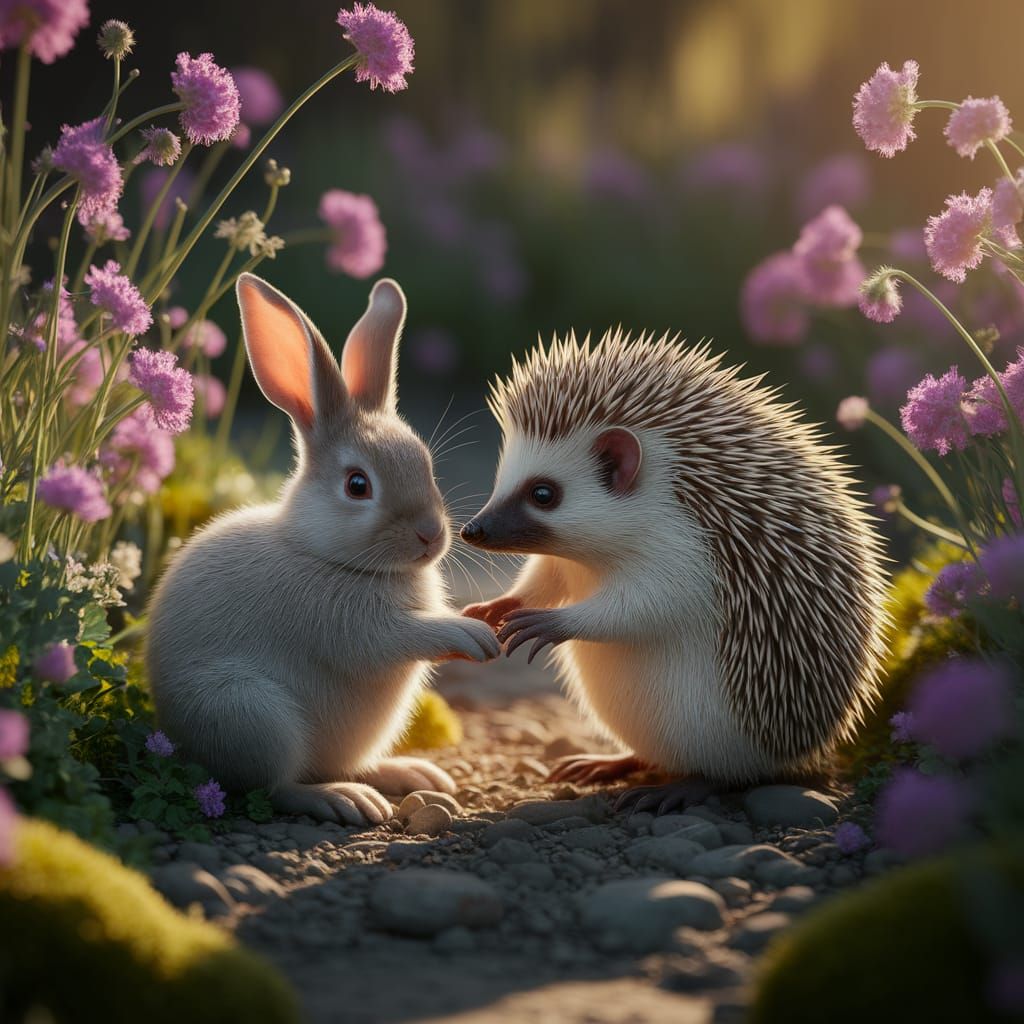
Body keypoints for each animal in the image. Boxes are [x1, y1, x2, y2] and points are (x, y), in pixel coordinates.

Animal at [146, 273, 500, 825]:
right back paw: (343, 799)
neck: (326, 555)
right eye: (358, 485)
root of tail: (176, 737)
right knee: (273, 787)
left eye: (425, 462)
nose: (431, 534)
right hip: (251, 714)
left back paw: (413, 775)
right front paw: (473, 635)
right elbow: (402, 635)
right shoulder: (353, 627)